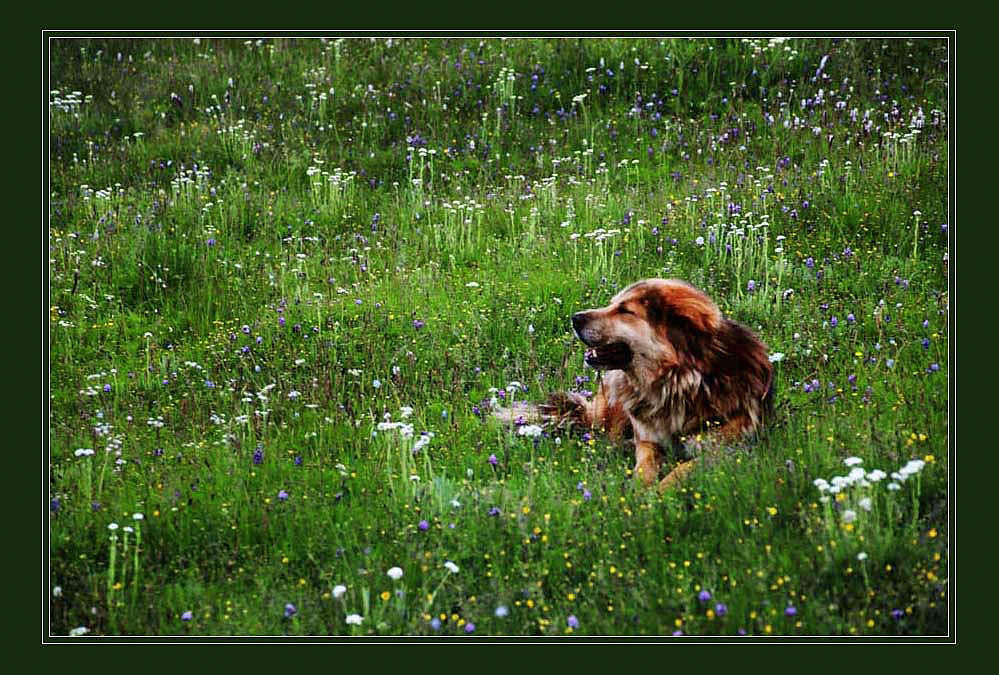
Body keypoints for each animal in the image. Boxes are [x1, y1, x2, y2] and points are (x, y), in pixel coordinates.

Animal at [540, 278, 772, 492]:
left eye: (625, 310)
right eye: (612, 304)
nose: (575, 318)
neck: (679, 383)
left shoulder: (727, 449)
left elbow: (684, 468)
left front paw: (660, 493)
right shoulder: (647, 440)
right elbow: (645, 466)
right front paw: (641, 491)